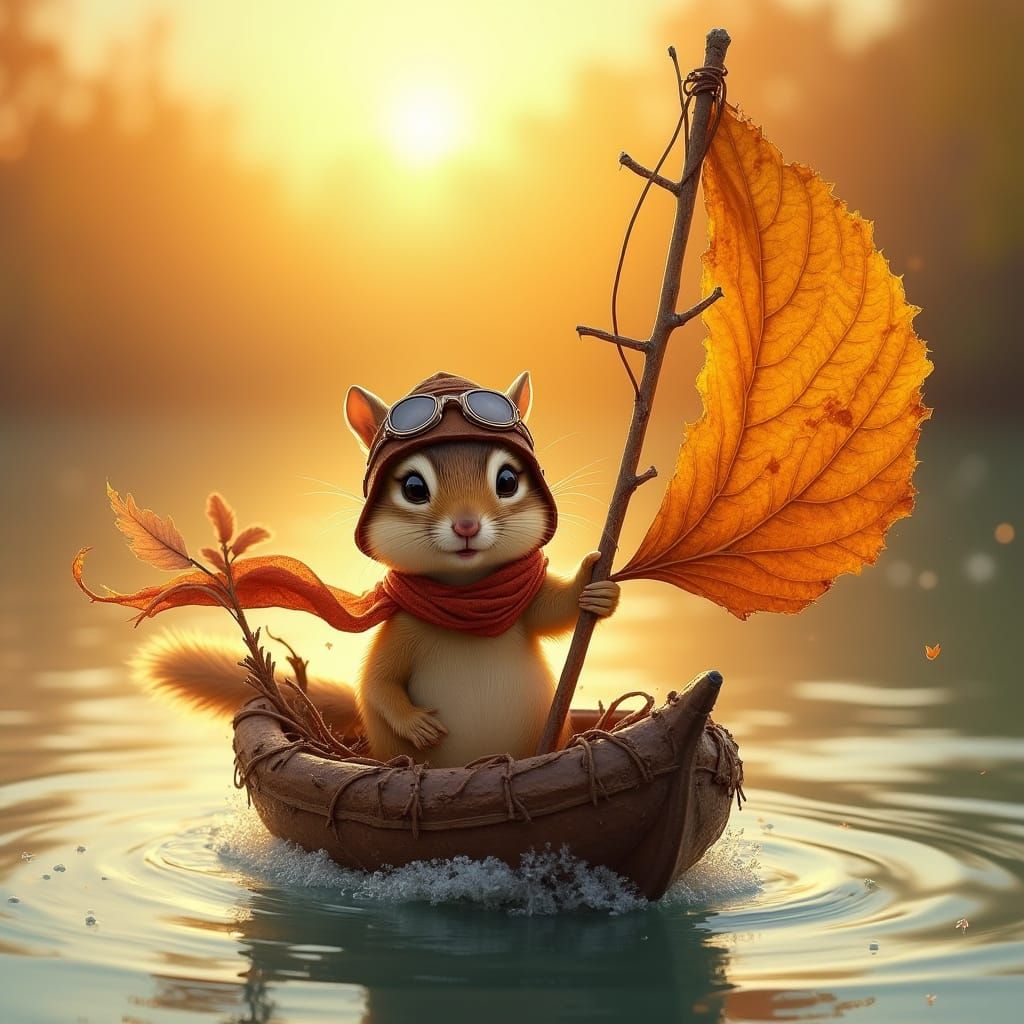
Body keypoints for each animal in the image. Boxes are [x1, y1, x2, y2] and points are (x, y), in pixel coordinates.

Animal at [135, 371, 619, 768]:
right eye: (414, 487)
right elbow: (376, 683)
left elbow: (554, 611)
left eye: (507, 481)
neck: (465, 597)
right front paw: (417, 723)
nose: (466, 525)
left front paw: (596, 585)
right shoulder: (401, 629)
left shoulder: (523, 608)